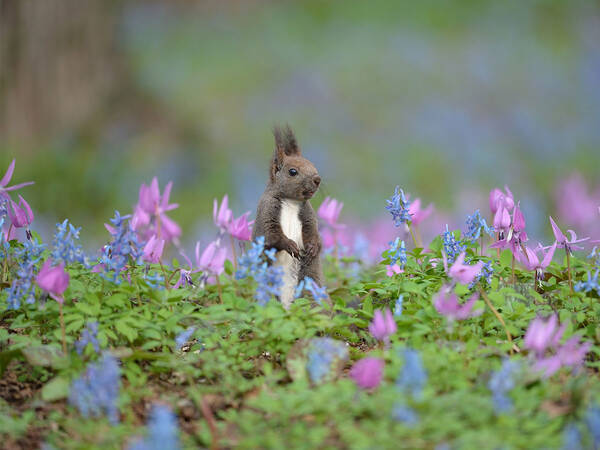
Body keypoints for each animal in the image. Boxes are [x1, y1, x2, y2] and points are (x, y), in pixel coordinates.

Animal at [251, 126, 322, 310]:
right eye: (292, 171)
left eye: (313, 165)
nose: (317, 179)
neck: (291, 202)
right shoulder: (266, 212)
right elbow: (271, 236)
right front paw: (290, 245)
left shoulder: (308, 216)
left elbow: (314, 233)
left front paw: (313, 248)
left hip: (310, 287)